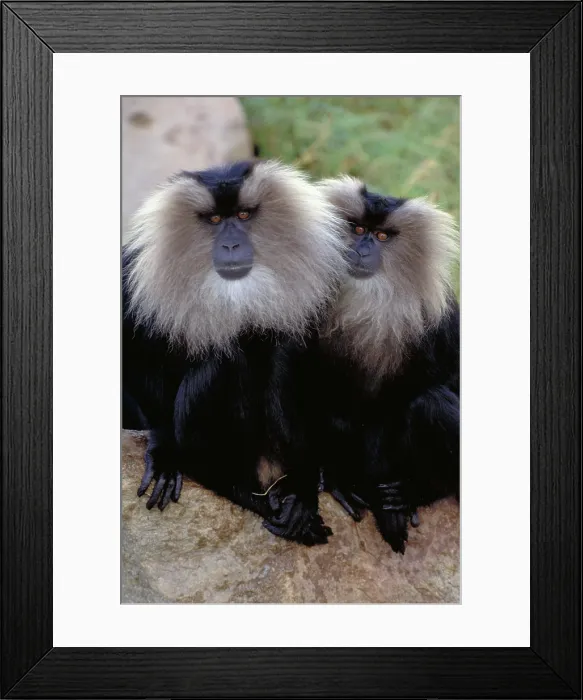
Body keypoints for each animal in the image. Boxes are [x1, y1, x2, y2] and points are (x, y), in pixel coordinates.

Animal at [122, 160, 346, 545]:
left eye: (243, 215)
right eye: (214, 220)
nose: (230, 244)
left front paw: (312, 484)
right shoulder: (135, 272)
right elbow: (136, 355)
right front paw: (163, 451)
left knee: (281, 346)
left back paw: (295, 495)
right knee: (227, 356)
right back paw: (239, 490)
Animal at [314, 176, 459, 554]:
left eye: (381, 236)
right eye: (357, 228)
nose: (362, 249)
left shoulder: (441, 321)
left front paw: (398, 507)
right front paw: (334, 478)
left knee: (431, 402)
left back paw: (413, 494)